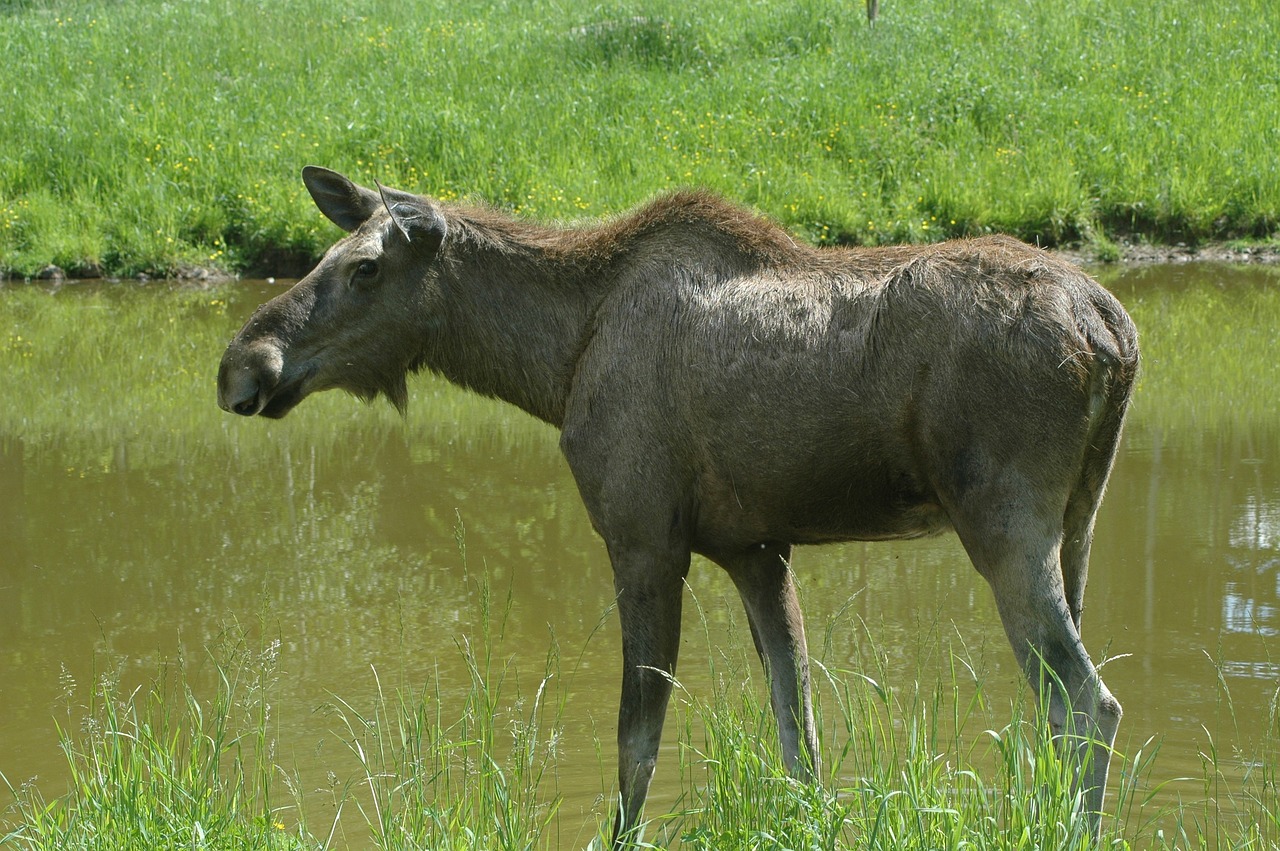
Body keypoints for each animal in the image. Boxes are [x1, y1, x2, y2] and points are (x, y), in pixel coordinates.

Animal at [220, 166, 1141, 844]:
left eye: (364, 267)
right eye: (327, 255)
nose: (243, 363)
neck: (554, 362)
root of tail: (1114, 331)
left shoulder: (643, 535)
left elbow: (637, 740)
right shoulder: (755, 548)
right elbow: (798, 730)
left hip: (1004, 522)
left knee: (1085, 701)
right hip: (1079, 522)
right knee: (1064, 698)